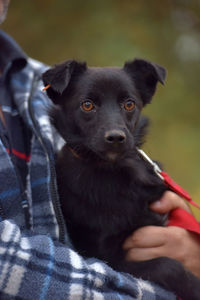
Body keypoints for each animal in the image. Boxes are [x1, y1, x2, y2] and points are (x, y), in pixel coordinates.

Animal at [42, 59, 200, 300]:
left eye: (129, 104)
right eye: (87, 105)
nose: (116, 137)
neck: (116, 169)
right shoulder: (109, 259)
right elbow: (167, 265)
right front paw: (194, 285)